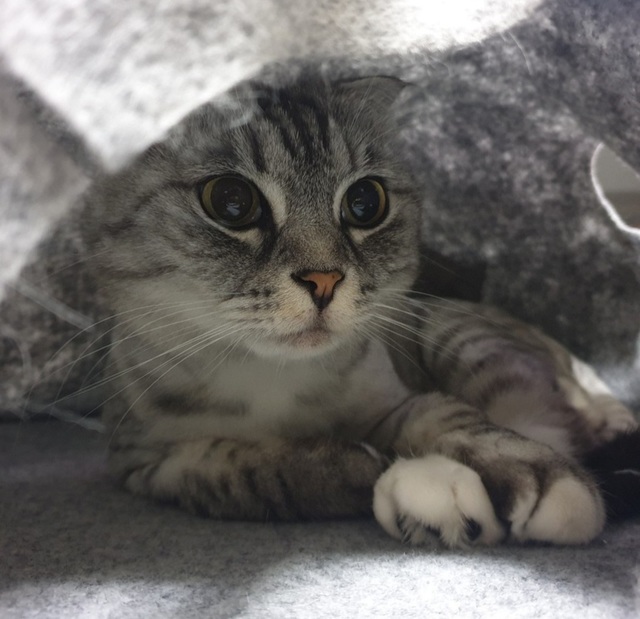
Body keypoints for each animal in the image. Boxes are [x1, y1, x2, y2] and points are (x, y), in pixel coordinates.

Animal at [82, 75, 638, 548]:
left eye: (365, 203)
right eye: (232, 202)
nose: (323, 280)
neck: (271, 379)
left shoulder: (401, 397)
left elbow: (464, 423)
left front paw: (538, 477)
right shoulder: (142, 460)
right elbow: (238, 469)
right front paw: (352, 466)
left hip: (451, 330)